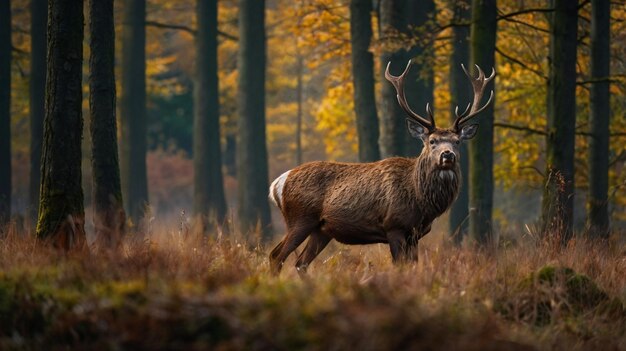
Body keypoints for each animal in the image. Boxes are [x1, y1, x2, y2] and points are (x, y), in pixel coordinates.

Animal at [266, 60, 492, 276]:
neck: (421, 199)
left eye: (457, 142)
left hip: (321, 230)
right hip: (300, 219)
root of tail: (277, 183)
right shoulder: (394, 226)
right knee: (276, 255)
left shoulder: (414, 235)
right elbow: (399, 266)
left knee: (300, 263)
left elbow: (413, 266)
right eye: (432, 141)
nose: (448, 155)